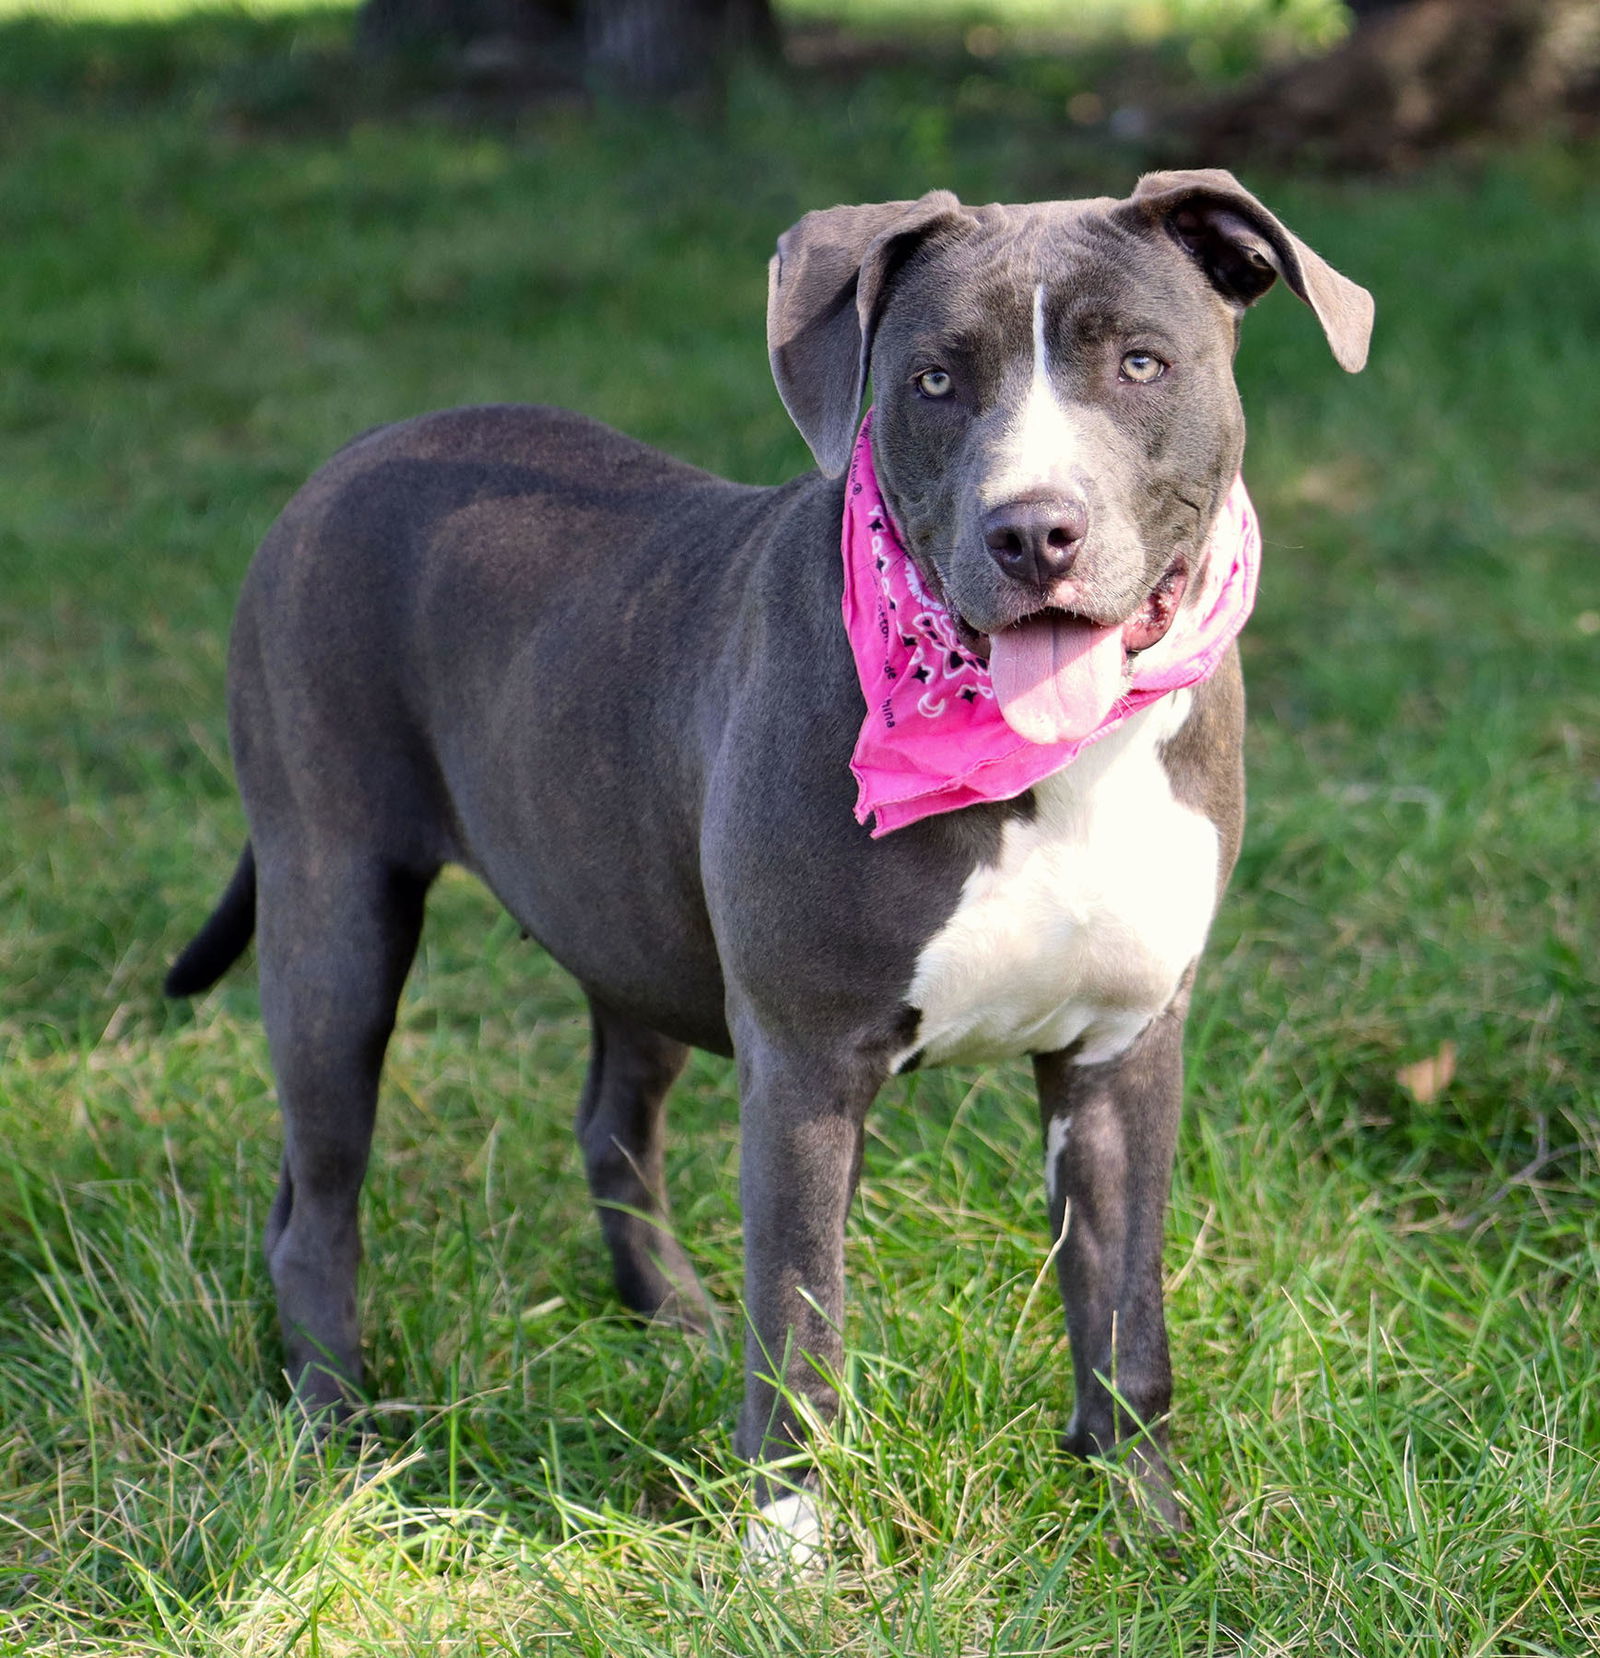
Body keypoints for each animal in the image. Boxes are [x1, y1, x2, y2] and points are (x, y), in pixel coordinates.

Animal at [165, 164, 1372, 1551]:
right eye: (934, 380)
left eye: (1139, 361)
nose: (1033, 531)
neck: (1037, 757)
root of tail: (343, 462)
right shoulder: (802, 1064)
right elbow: (799, 1321)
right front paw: (787, 1545)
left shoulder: (1119, 1055)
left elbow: (1124, 1319)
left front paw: (1148, 1525)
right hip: (336, 917)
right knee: (319, 1199)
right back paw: (334, 1430)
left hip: (628, 919)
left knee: (608, 1123)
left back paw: (671, 1319)